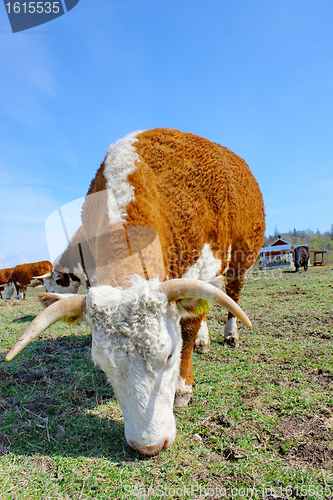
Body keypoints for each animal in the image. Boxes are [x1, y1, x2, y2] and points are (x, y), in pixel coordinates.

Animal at [5, 128, 264, 454]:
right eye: (102, 365)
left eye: (169, 355)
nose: (149, 445)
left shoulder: (206, 264)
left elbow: (189, 328)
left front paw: (183, 387)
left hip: (240, 258)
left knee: (231, 295)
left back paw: (230, 334)